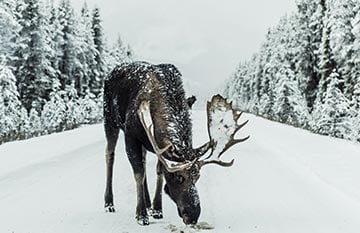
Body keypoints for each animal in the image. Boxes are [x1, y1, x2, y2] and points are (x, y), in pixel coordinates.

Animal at [102, 61, 248, 226]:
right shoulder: (131, 135)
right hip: (109, 120)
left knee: (144, 160)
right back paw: (109, 203)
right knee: (110, 155)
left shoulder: (158, 145)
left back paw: (148, 202)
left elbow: (159, 172)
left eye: (197, 176)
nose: (193, 216)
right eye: (179, 177)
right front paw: (141, 215)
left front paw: (157, 209)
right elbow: (139, 174)